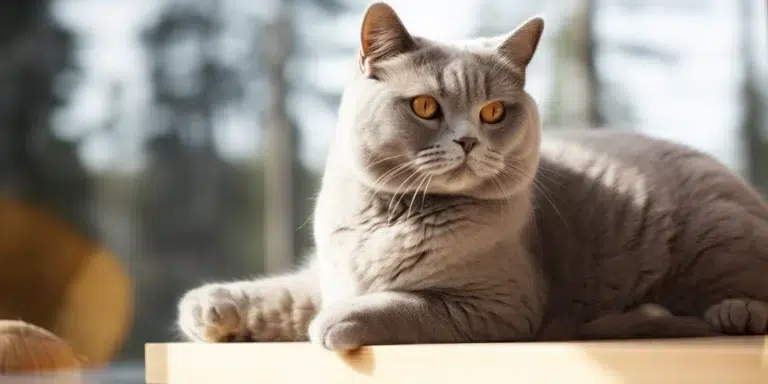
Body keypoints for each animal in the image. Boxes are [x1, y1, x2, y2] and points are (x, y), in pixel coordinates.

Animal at [176, 1, 768, 350]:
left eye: (493, 112)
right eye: (424, 106)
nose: (467, 140)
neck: (386, 219)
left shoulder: (494, 305)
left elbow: (400, 306)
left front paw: (335, 323)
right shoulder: (330, 272)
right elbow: (288, 291)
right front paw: (212, 307)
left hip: (713, 234)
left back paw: (733, 313)